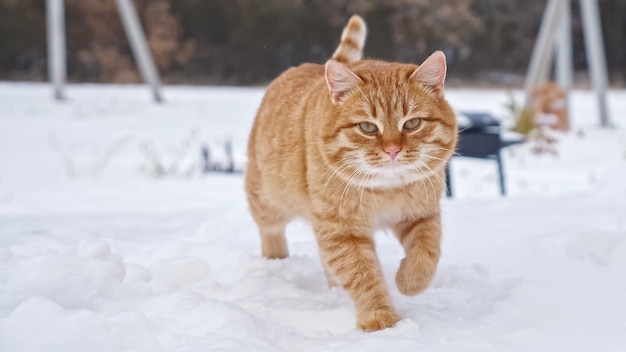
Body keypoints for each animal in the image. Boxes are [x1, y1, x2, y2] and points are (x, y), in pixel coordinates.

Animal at [246, 15, 456, 332]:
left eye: (412, 123)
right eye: (368, 127)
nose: (392, 150)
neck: (386, 190)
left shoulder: (422, 214)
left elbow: (426, 253)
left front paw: (408, 281)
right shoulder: (341, 229)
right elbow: (362, 275)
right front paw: (381, 319)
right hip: (267, 199)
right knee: (270, 231)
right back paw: (276, 262)